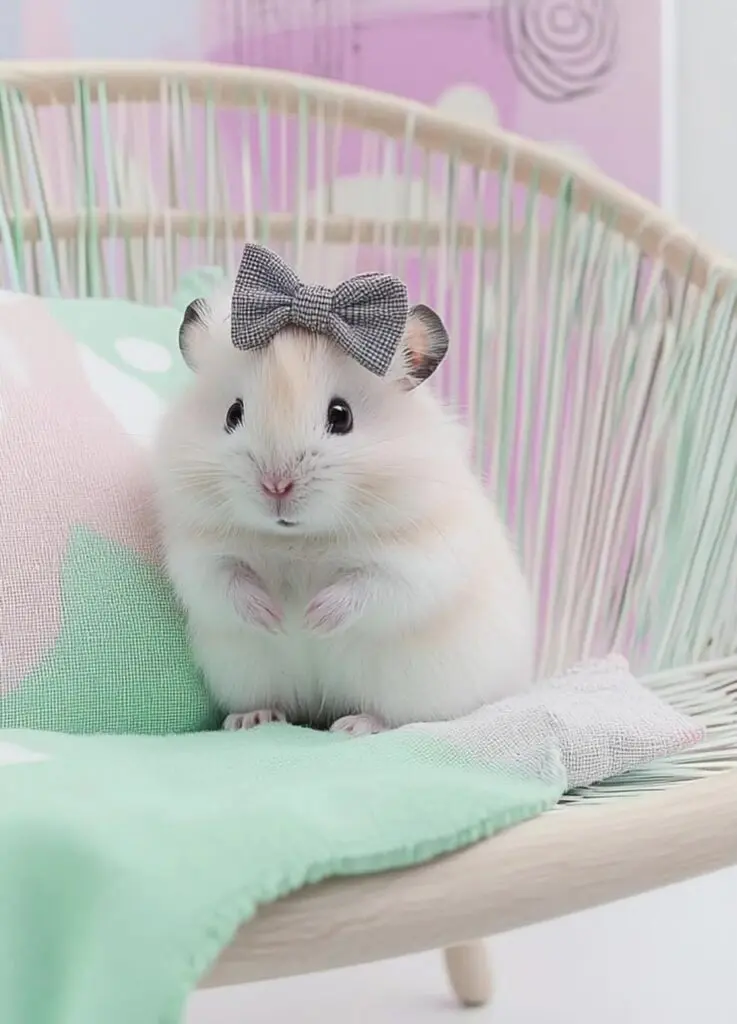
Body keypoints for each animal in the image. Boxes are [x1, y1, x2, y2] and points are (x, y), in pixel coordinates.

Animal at [153, 291, 534, 735]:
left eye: (341, 415)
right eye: (233, 413)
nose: (275, 486)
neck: (299, 538)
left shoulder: (421, 560)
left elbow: (368, 588)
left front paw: (312, 619)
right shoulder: (198, 557)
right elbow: (225, 584)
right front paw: (275, 618)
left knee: (395, 716)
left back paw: (355, 725)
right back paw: (252, 719)